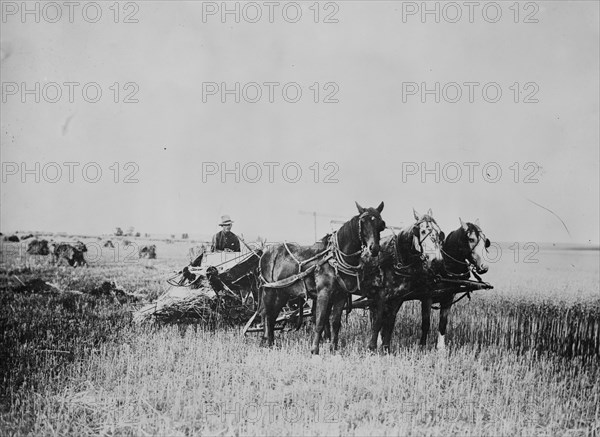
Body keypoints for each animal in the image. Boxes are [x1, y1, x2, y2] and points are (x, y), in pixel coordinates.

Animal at [260, 201, 386, 354]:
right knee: (267, 315)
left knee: (272, 316)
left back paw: (271, 343)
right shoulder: (323, 293)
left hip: (282, 292)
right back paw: (267, 342)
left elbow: (335, 323)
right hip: (269, 291)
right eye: (363, 222)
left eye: (381, 224)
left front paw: (333, 349)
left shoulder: (340, 296)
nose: (374, 248)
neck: (334, 259)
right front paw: (315, 350)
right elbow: (319, 322)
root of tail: (266, 251)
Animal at [366, 208, 446, 350]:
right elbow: (378, 321)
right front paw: (372, 347)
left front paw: (386, 348)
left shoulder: (397, 298)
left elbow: (390, 322)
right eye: (422, 231)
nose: (437, 261)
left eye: (439, 232)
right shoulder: (380, 296)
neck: (396, 259)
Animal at [420, 218, 490, 350]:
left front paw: (441, 348)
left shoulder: (448, 298)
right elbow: (426, 324)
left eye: (485, 241)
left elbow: (443, 323)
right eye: (471, 239)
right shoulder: (427, 298)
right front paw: (421, 346)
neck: (444, 268)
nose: (484, 267)